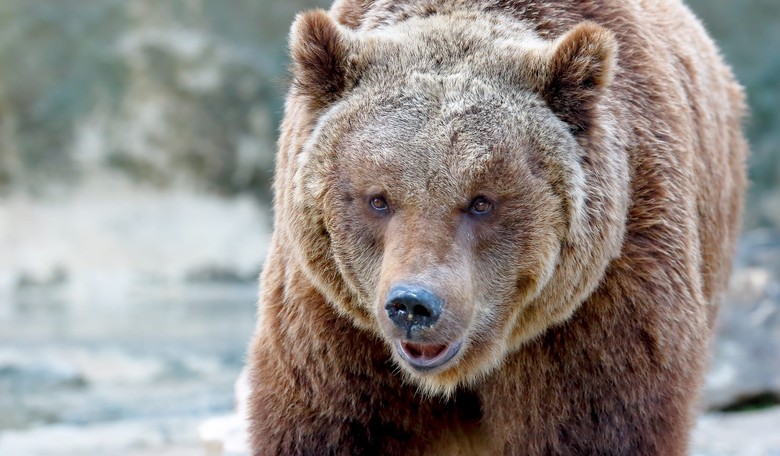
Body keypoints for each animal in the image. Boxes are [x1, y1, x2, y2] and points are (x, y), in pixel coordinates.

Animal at [247, 0, 748, 454]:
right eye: (378, 198)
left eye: (481, 201)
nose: (413, 305)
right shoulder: (332, 327)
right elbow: (330, 422)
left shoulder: (601, 307)